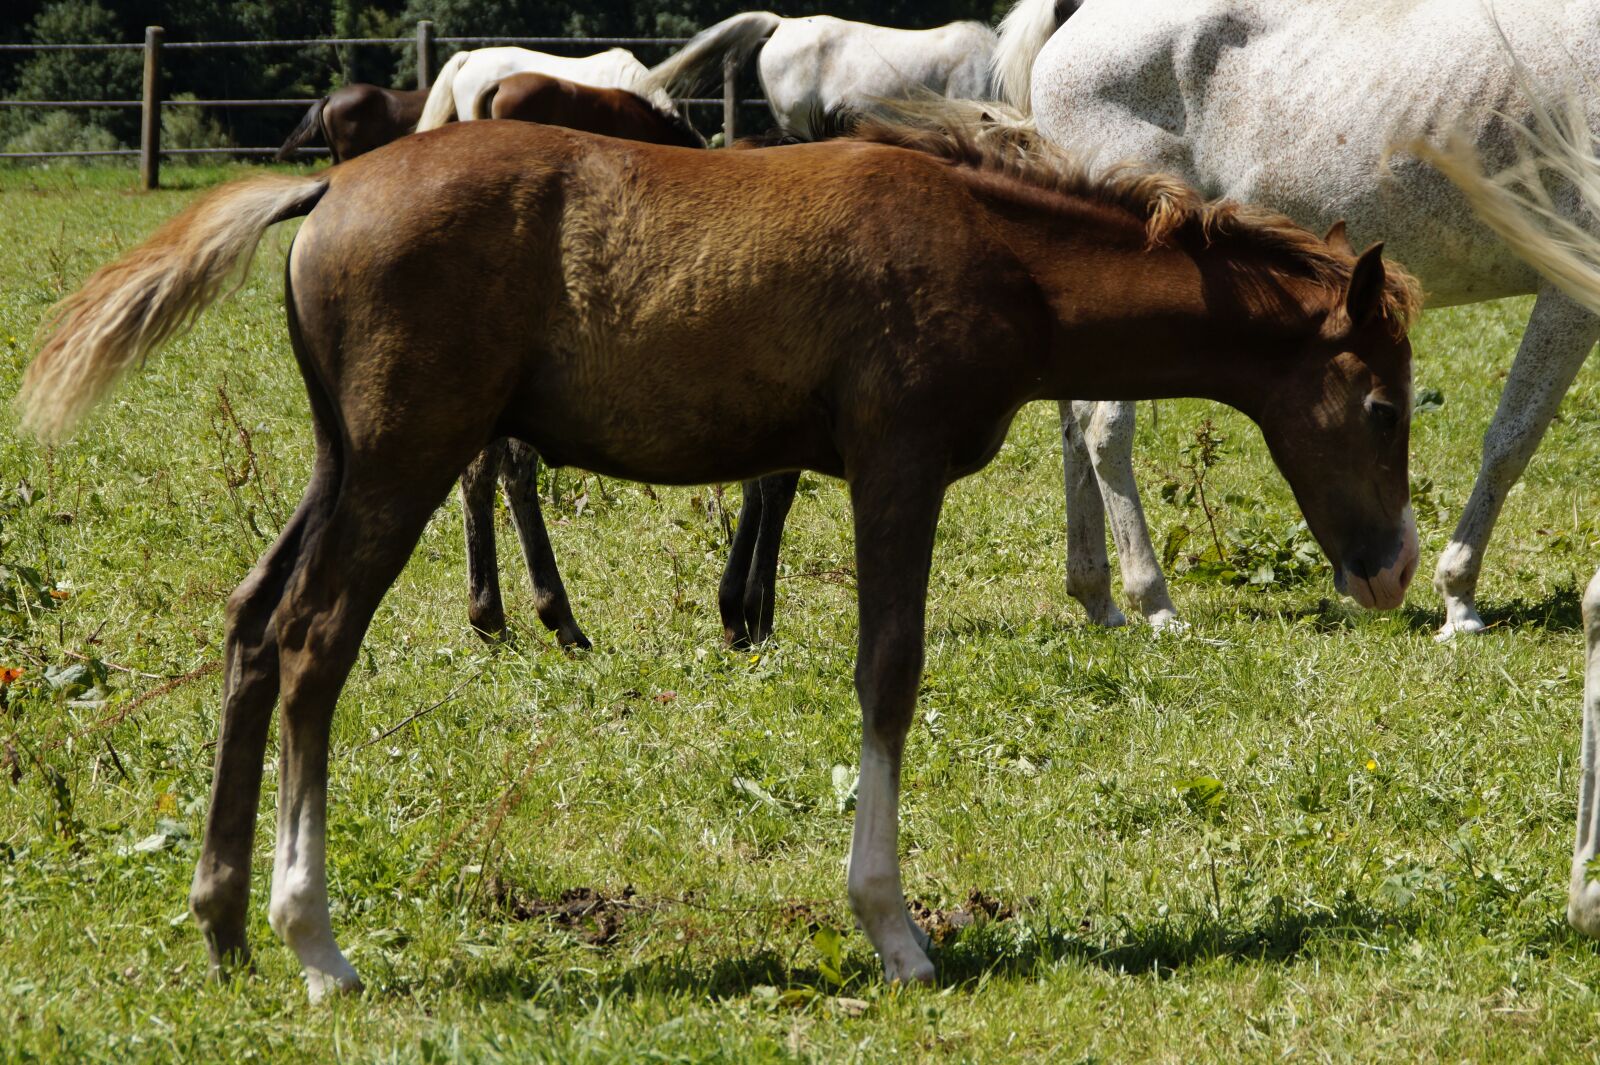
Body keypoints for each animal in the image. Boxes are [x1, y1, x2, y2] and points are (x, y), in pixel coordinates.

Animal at [18, 113, 1419, 999]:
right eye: (1380, 405)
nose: (1390, 570)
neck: (997, 252)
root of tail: (328, 190)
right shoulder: (897, 463)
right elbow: (888, 672)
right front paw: (895, 931)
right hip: (407, 457)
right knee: (315, 644)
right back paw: (314, 946)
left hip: (343, 458)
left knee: (254, 625)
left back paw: (222, 925)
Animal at [994, 0, 1600, 639]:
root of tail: (1075, 20)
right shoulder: (1570, 286)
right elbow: (1512, 439)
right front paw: (1458, 598)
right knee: (1105, 431)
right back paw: (1153, 599)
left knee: (1074, 423)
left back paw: (1097, 595)